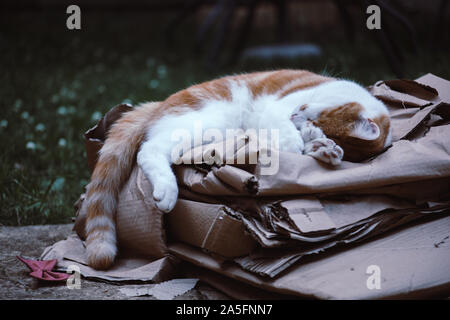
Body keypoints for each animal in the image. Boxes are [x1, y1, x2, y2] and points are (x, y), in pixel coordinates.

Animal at [83, 69, 390, 270]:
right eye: (312, 115)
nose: (296, 116)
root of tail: (160, 103)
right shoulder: (277, 108)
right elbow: (288, 140)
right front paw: (305, 143)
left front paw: (325, 148)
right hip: (209, 121)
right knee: (150, 149)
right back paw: (166, 191)